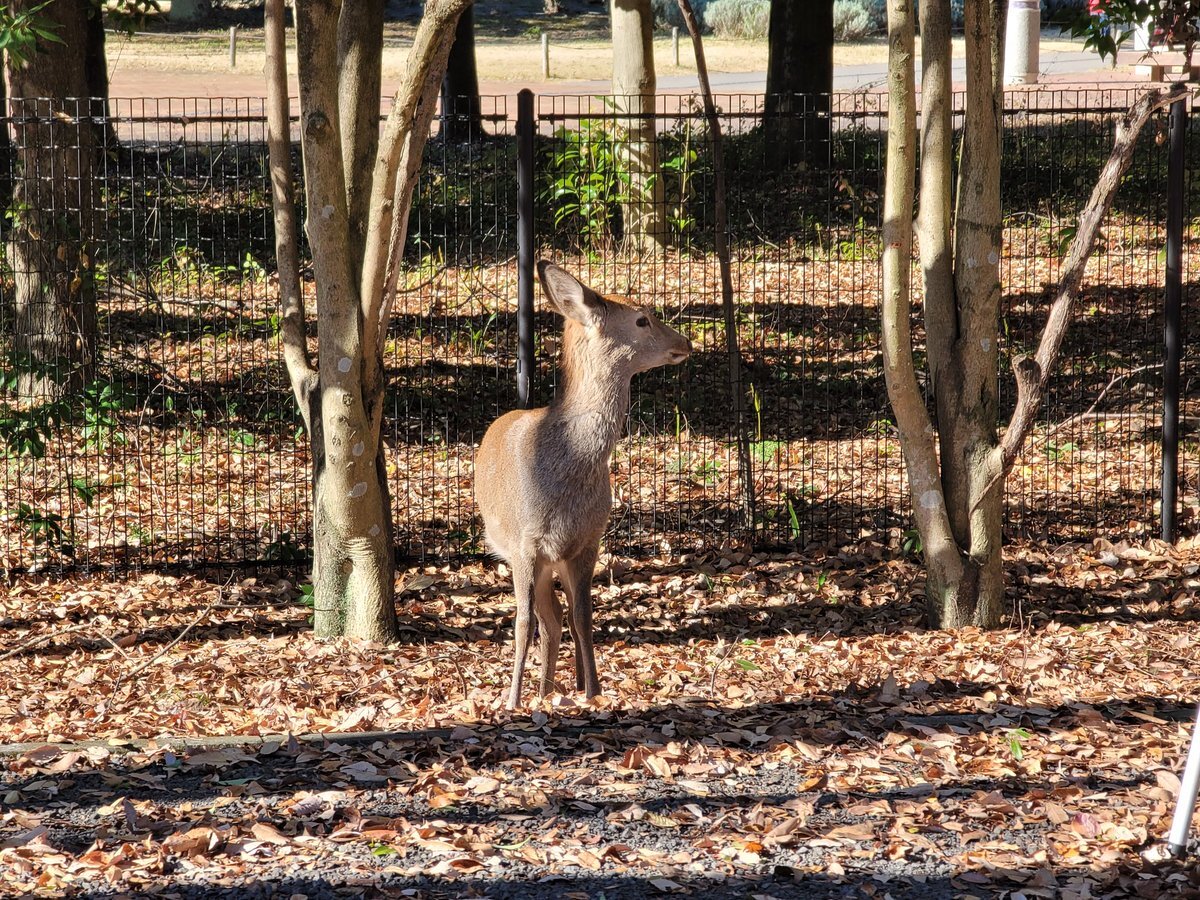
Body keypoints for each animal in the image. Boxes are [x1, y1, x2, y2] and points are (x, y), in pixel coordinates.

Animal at [474, 261, 692, 709]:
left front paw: (592, 691)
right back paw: (539, 690)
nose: (686, 341)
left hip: (555, 560)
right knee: (543, 618)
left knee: (558, 618)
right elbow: (522, 622)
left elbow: (584, 618)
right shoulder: (524, 544)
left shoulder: (589, 540)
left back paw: (556, 687)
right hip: (520, 552)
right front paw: (512, 700)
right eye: (642, 318)